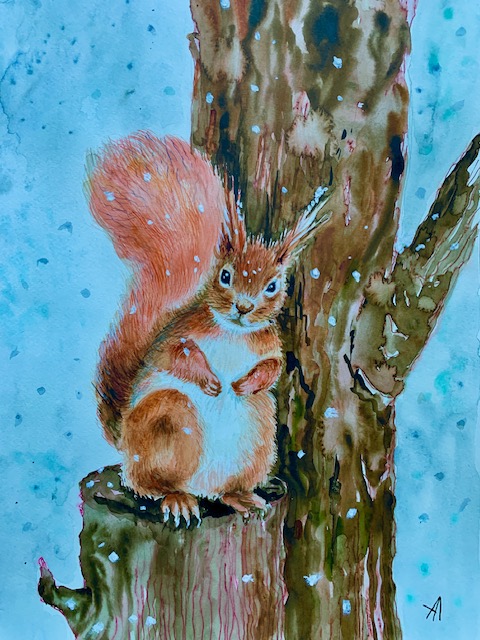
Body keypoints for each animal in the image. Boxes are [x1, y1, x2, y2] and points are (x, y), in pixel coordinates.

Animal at [85, 131, 322, 527]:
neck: (233, 332)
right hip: (169, 420)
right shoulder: (178, 333)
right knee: (153, 484)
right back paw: (177, 498)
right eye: (225, 275)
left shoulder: (269, 345)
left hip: (258, 437)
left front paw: (245, 384)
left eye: (273, 286)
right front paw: (210, 380)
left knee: (222, 490)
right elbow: (175, 355)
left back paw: (241, 497)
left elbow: (274, 367)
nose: (244, 307)